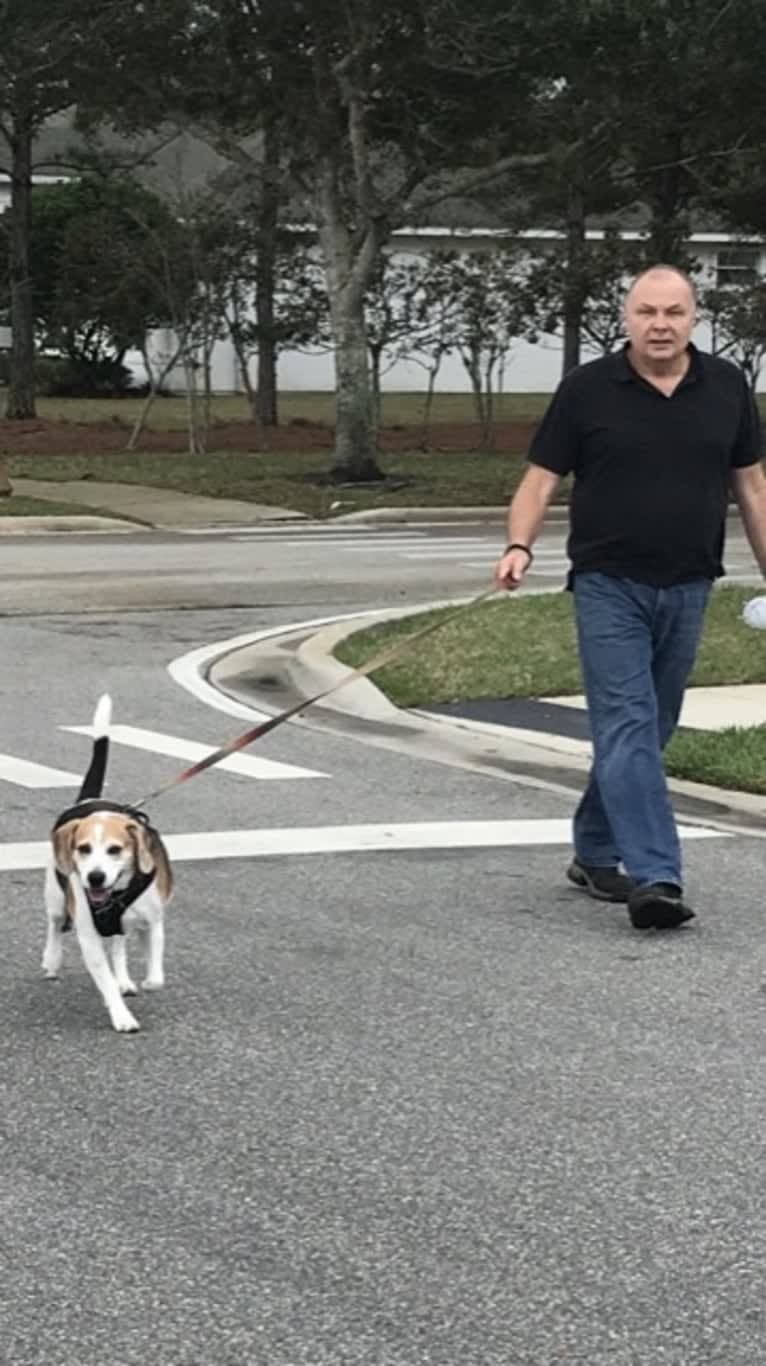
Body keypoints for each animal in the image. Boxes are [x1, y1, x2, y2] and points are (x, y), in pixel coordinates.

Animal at [43, 693, 173, 1032]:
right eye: (83, 849)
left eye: (115, 849)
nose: (96, 877)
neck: (115, 895)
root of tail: (88, 801)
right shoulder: (89, 937)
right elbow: (105, 978)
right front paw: (121, 1015)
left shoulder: (153, 922)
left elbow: (155, 974)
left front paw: (142, 982)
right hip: (54, 895)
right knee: (54, 925)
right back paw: (51, 960)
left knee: (119, 945)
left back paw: (124, 978)